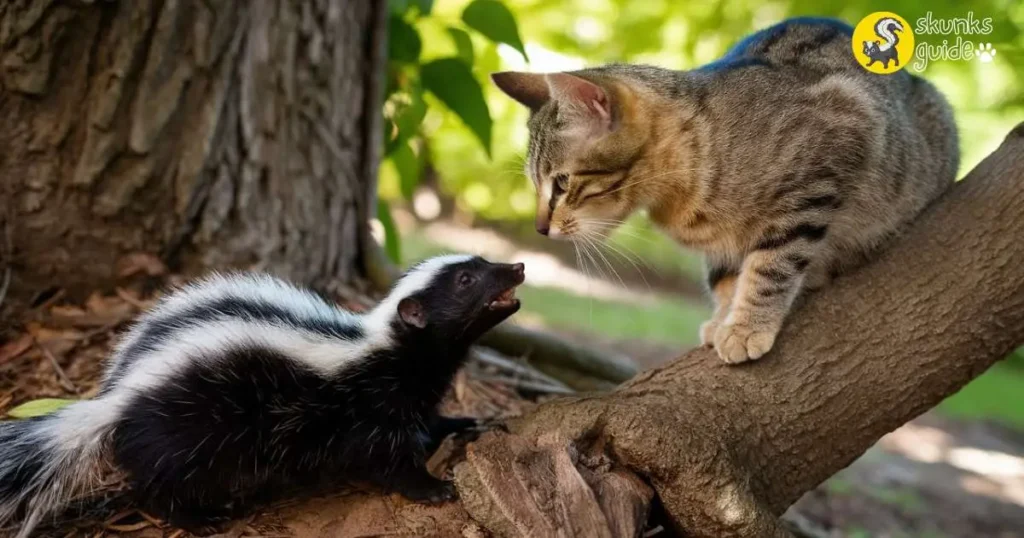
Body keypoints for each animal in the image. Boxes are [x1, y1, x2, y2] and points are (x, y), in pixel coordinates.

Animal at [0, 254, 524, 532]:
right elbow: (388, 458)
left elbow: (427, 421)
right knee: (161, 481)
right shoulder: (371, 404)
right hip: (187, 426)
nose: (518, 266)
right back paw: (201, 518)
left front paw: (466, 422)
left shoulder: (409, 392)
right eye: (467, 281)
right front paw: (433, 488)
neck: (386, 345)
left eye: (482, 265)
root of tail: (113, 399)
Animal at [491, 19, 954, 364]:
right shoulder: (719, 245)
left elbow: (773, 264)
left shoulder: (824, 161)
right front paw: (725, 316)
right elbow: (725, 276)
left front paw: (747, 325)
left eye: (562, 183)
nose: (540, 228)